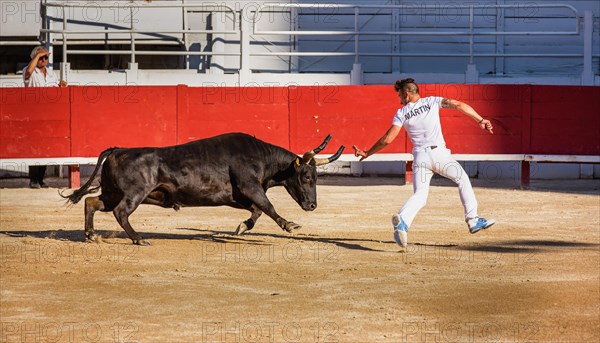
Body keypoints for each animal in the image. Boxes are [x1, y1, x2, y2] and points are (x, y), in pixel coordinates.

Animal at [61, 132, 344, 245]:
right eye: (306, 176)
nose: (312, 205)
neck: (262, 158)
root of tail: (118, 150)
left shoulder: (237, 196)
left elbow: (257, 211)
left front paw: (242, 227)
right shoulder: (250, 186)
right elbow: (268, 206)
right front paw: (289, 225)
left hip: (112, 192)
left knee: (92, 203)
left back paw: (91, 235)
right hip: (134, 194)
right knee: (121, 212)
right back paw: (139, 238)